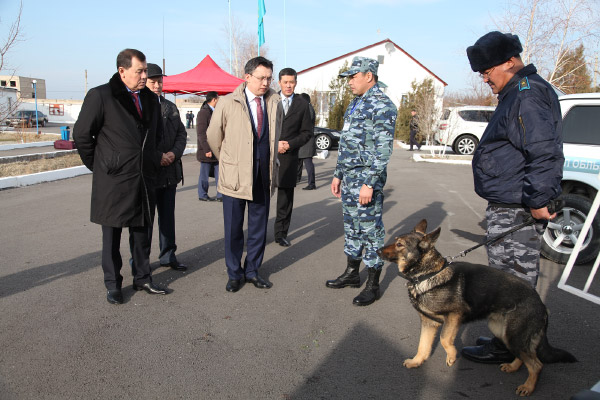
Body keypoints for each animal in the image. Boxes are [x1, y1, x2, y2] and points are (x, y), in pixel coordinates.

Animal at [376, 220, 576, 396]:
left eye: (399, 244)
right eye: (396, 240)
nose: (377, 250)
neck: (428, 274)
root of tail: (540, 303)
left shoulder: (454, 316)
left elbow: (444, 339)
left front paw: (451, 356)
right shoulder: (429, 323)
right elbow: (423, 346)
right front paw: (417, 361)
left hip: (513, 335)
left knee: (537, 364)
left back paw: (528, 387)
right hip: (502, 331)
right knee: (525, 357)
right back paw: (512, 367)